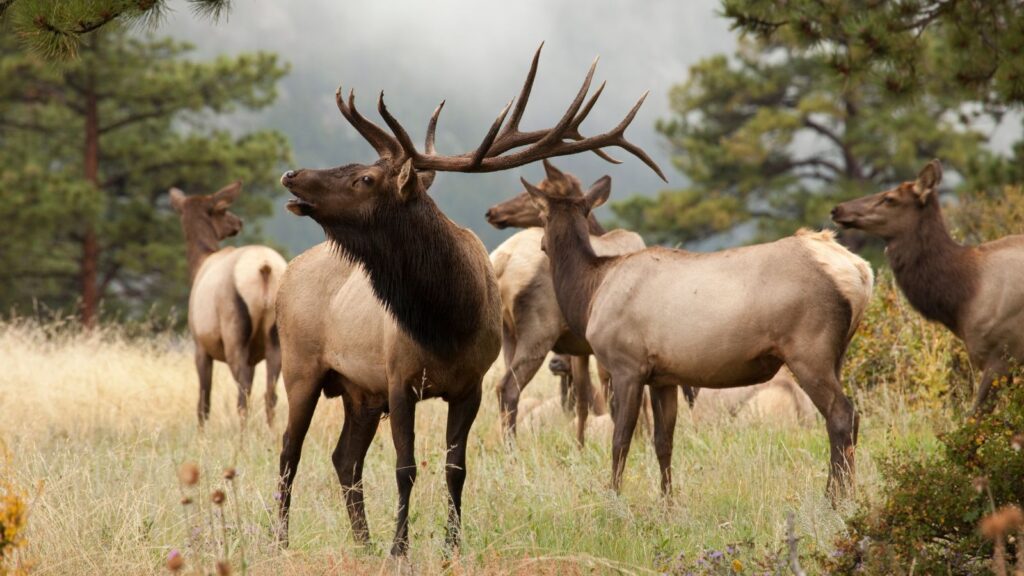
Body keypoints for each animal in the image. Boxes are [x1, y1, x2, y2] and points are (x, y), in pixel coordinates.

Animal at [168, 180, 288, 426]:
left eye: (222, 208)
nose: (238, 222)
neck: (199, 263)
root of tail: (265, 268)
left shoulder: (200, 345)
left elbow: (203, 403)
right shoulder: (253, 357)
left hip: (234, 331)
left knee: (242, 395)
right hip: (275, 337)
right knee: (270, 395)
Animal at [272, 45, 663, 557]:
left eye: (365, 177)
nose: (291, 174)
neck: (447, 321)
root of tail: (287, 274)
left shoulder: (468, 384)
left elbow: (454, 467)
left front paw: (449, 545)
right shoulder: (399, 379)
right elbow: (405, 468)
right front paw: (401, 548)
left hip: (359, 391)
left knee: (343, 459)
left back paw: (363, 543)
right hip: (301, 368)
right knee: (288, 452)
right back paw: (281, 543)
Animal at [528, 158, 872, 496]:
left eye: (541, 215)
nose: (541, 244)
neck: (591, 295)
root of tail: (860, 271)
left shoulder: (627, 365)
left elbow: (621, 441)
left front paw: (613, 498)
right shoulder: (663, 377)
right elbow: (663, 443)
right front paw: (667, 502)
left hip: (809, 349)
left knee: (841, 415)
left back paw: (836, 498)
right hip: (836, 353)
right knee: (848, 418)